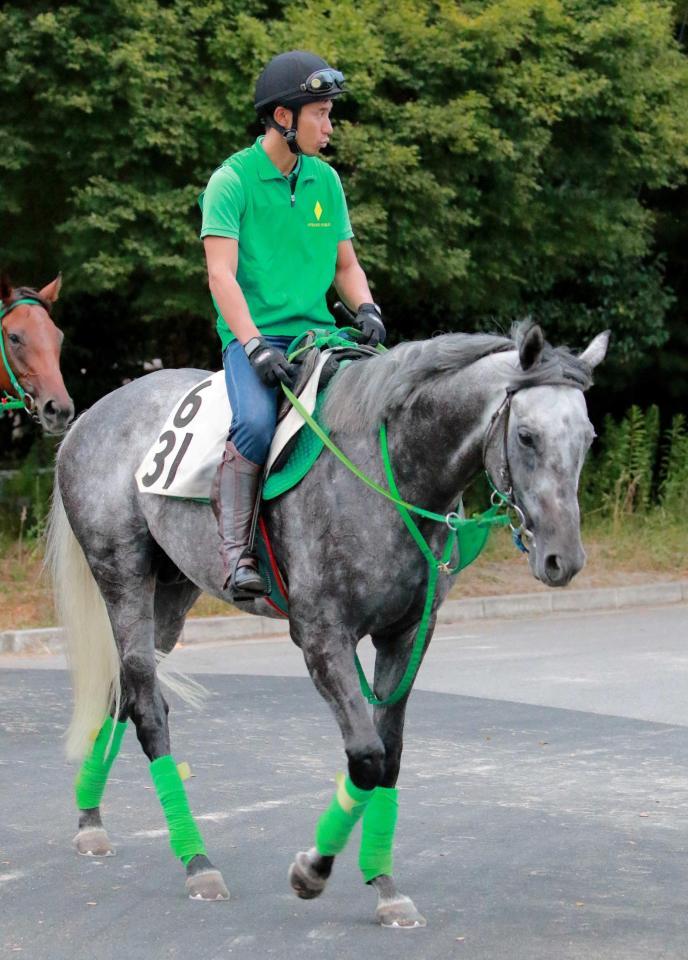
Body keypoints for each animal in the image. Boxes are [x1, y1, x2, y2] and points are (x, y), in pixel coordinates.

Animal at [48, 324, 608, 928]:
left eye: (588, 437)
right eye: (526, 436)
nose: (563, 558)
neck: (390, 468)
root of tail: (91, 416)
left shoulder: (406, 638)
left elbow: (390, 756)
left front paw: (384, 885)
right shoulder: (322, 638)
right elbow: (366, 757)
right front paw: (313, 871)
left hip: (171, 596)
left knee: (125, 692)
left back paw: (91, 821)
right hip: (123, 581)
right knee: (148, 712)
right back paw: (197, 862)